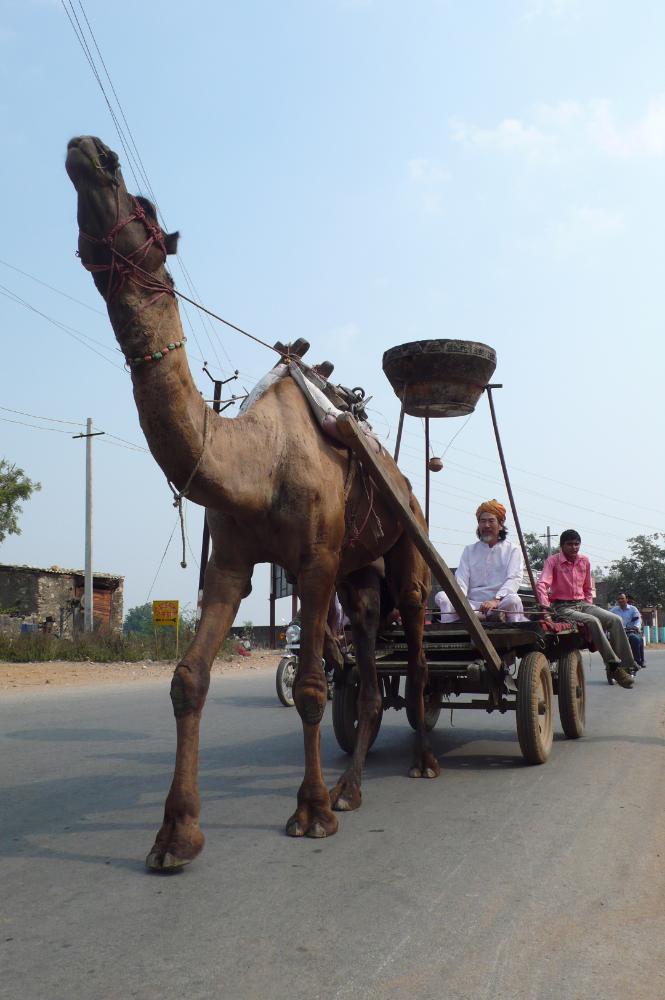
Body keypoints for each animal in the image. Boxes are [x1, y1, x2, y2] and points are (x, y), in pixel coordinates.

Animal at [65, 137, 434, 872]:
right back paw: (352, 788)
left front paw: (310, 813)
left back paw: (421, 762)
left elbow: (313, 686)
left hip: (404, 545)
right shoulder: (231, 561)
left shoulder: (314, 563)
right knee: (370, 662)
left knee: (414, 644)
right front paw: (175, 836)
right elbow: (188, 680)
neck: (256, 463)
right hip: (358, 572)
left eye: (145, 207)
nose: (90, 150)